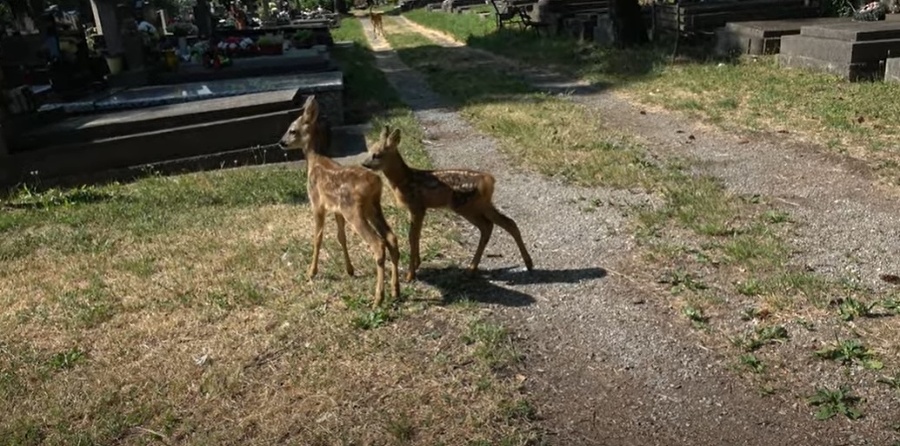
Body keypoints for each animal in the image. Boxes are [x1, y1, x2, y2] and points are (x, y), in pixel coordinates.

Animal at [278, 95, 398, 306]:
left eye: (292, 130)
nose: (281, 142)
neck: (314, 162)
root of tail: (375, 182)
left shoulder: (317, 203)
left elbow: (317, 237)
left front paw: (311, 272)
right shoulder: (337, 209)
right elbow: (341, 237)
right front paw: (349, 270)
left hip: (354, 211)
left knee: (378, 243)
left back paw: (378, 298)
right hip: (373, 207)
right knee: (391, 237)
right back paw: (395, 290)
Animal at [360, 124, 532, 282]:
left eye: (377, 155)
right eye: (369, 151)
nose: (364, 164)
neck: (404, 180)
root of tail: (488, 181)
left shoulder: (416, 205)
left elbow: (412, 236)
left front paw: (410, 275)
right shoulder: (420, 208)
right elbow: (416, 234)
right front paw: (417, 264)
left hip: (464, 205)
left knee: (487, 226)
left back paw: (472, 269)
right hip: (483, 204)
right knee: (507, 223)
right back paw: (527, 263)